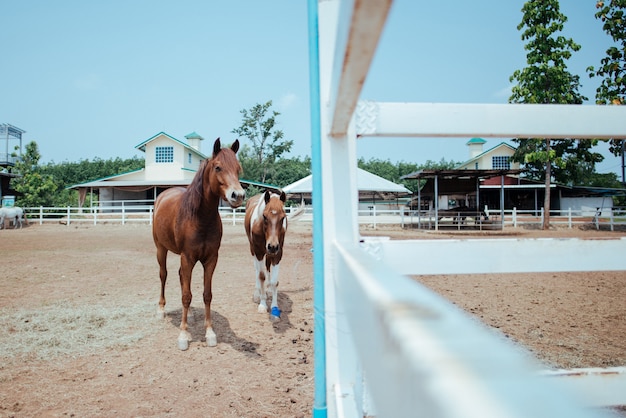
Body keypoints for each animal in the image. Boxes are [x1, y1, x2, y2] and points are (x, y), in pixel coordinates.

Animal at [152, 137, 245, 350]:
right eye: (218, 167)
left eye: (238, 169)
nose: (238, 195)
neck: (200, 218)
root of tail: (163, 195)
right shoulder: (187, 257)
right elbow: (186, 296)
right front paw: (183, 335)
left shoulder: (210, 259)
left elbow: (206, 294)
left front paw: (209, 332)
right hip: (161, 249)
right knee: (163, 275)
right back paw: (161, 310)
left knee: (181, 278)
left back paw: (192, 315)